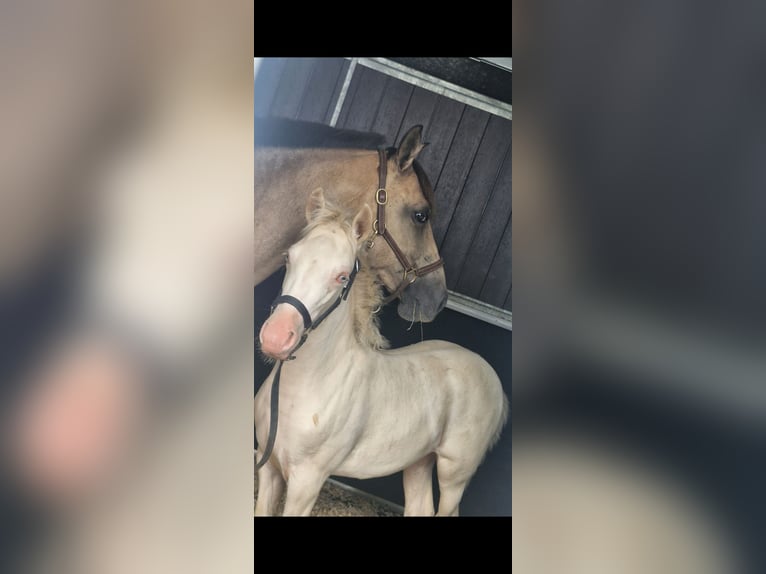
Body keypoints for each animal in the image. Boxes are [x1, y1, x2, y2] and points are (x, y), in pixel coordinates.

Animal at [254, 189, 508, 516]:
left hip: (454, 474)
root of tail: (494, 382)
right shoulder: (268, 467)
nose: (275, 337)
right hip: (418, 462)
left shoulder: (306, 483)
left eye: (342, 277)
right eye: (288, 257)